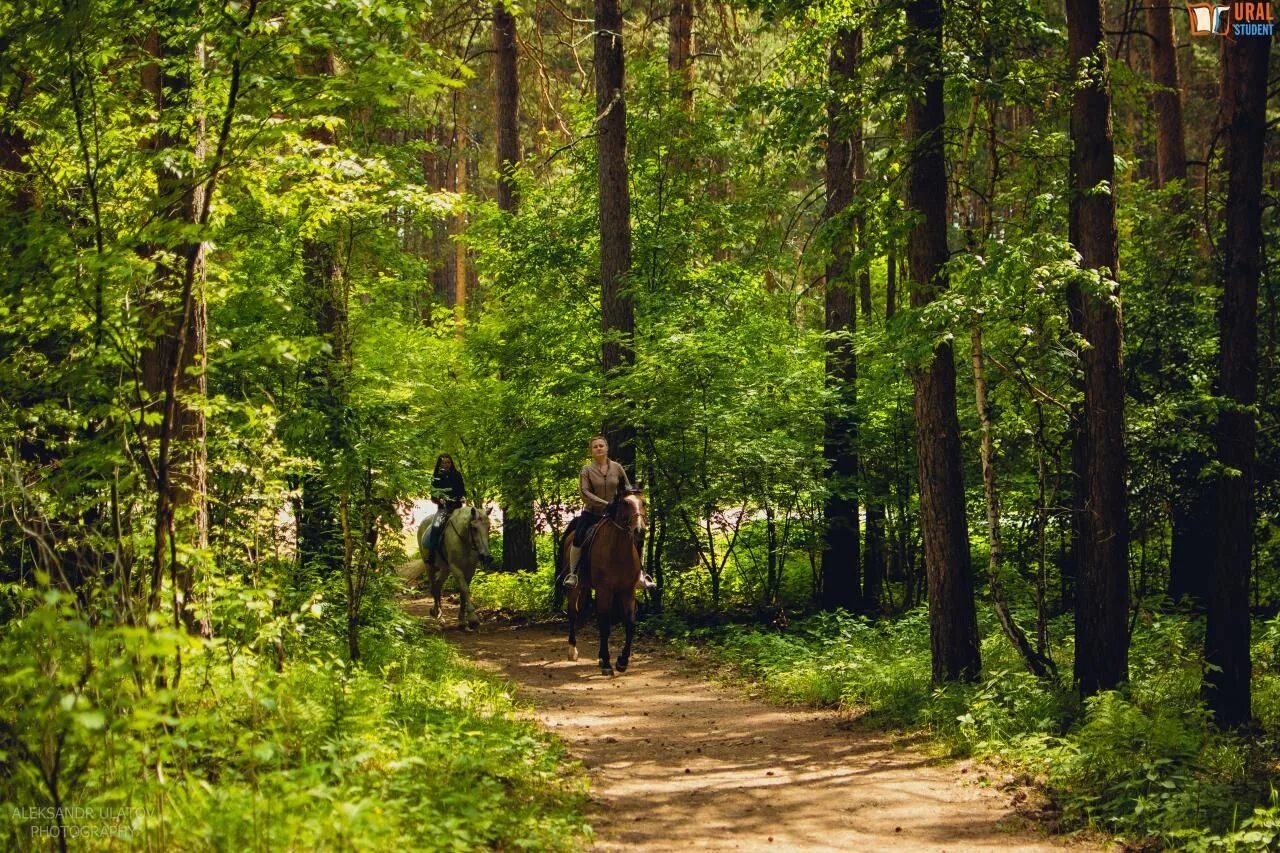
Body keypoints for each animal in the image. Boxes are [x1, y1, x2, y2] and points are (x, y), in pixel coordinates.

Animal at [560, 489, 645, 676]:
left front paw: (622, 661)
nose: (639, 530)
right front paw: (606, 662)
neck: (619, 551)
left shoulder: (628, 590)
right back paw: (572, 650)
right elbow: (605, 623)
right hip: (575, 588)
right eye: (625, 503)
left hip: (586, 586)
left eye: (644, 503)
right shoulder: (604, 590)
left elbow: (630, 623)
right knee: (573, 613)